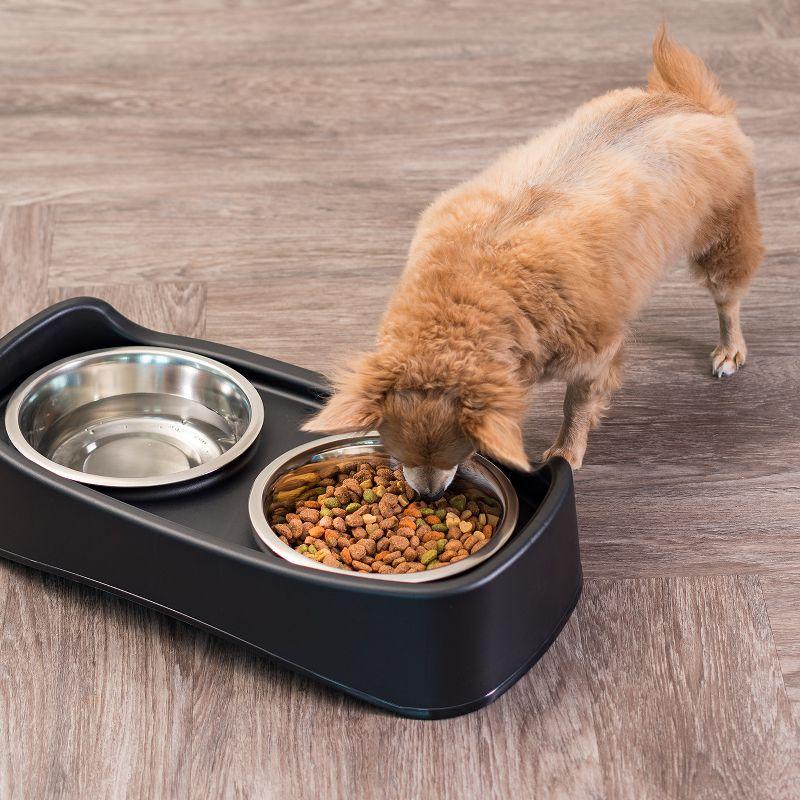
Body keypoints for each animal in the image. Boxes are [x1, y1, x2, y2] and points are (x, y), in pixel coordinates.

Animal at [302, 25, 764, 496]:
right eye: (398, 453)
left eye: (455, 456)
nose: (428, 495)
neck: (468, 292)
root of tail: (688, 102)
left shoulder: (594, 357)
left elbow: (576, 405)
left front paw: (566, 453)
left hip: (723, 239)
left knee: (727, 300)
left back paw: (729, 350)